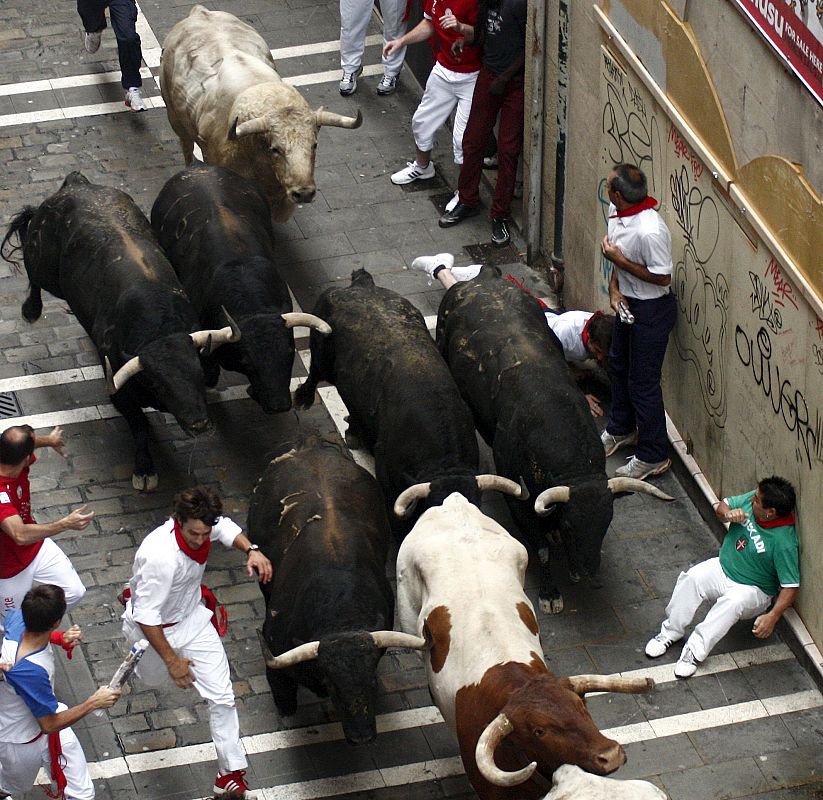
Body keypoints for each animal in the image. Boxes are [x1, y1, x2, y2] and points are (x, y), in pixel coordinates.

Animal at [0, 172, 229, 490]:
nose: (199, 424)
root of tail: (76, 183)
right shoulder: (119, 392)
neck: (159, 328)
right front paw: (144, 471)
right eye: (160, 385)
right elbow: (140, 425)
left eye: (197, 373)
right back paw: (30, 310)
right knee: (32, 267)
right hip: (43, 264)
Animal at [161, 5, 364, 222]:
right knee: (186, 146)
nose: (304, 193)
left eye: (314, 145)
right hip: (176, 121)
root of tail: (200, 12)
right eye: (275, 149)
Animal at [248, 438, 424, 744]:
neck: (341, 617)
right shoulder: (278, 669)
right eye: (331, 682)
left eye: (372, 680)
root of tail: (311, 447)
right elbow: (286, 702)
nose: (362, 736)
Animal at [434, 268, 672, 612]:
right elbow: (541, 549)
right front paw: (550, 593)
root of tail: (481, 279)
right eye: (572, 525)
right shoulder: (517, 496)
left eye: (607, 522)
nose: (588, 570)